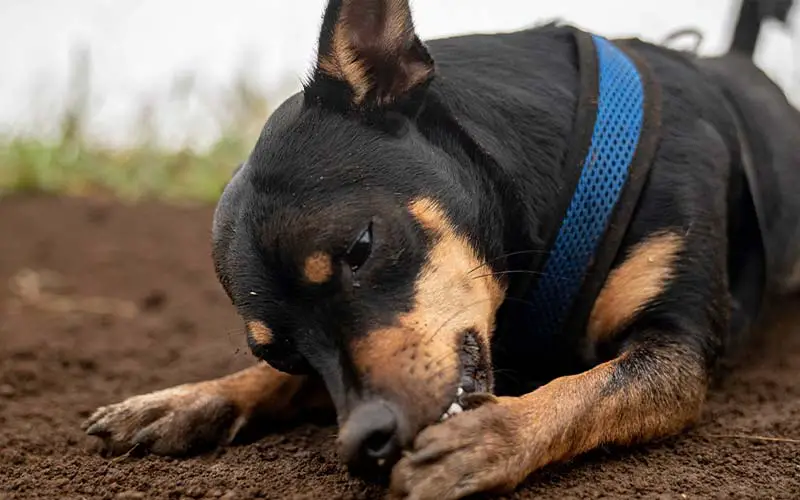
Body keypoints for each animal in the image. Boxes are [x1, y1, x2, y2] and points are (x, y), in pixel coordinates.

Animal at [83, 1, 800, 498]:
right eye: (279, 352)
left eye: (361, 247)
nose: (364, 442)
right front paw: (190, 397)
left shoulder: (676, 347)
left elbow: (585, 389)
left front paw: (491, 435)